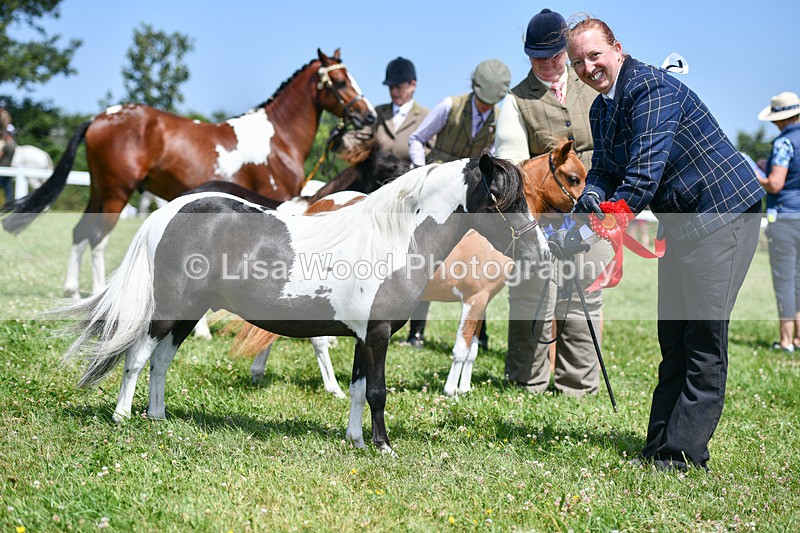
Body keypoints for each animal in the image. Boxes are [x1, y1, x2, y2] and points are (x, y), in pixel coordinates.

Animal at [1, 49, 377, 299]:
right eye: (340, 81)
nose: (369, 116)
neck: (277, 137)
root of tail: (100, 117)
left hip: (100, 190)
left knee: (80, 233)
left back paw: (72, 291)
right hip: (116, 193)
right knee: (97, 239)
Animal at [56, 153, 550, 454]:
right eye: (505, 199)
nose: (542, 252)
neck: (393, 238)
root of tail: (168, 211)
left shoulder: (362, 336)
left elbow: (357, 389)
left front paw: (356, 441)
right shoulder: (378, 334)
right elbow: (377, 391)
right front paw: (384, 447)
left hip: (188, 313)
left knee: (160, 362)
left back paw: (157, 418)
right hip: (167, 311)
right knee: (138, 357)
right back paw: (123, 417)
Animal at [230, 139, 586, 396]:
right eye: (573, 178)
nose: (544, 251)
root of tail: (318, 205)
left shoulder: (482, 302)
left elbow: (471, 350)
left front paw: (465, 388)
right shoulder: (473, 299)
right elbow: (460, 349)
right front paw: (451, 391)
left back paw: (259, 373)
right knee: (315, 341)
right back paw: (332, 388)